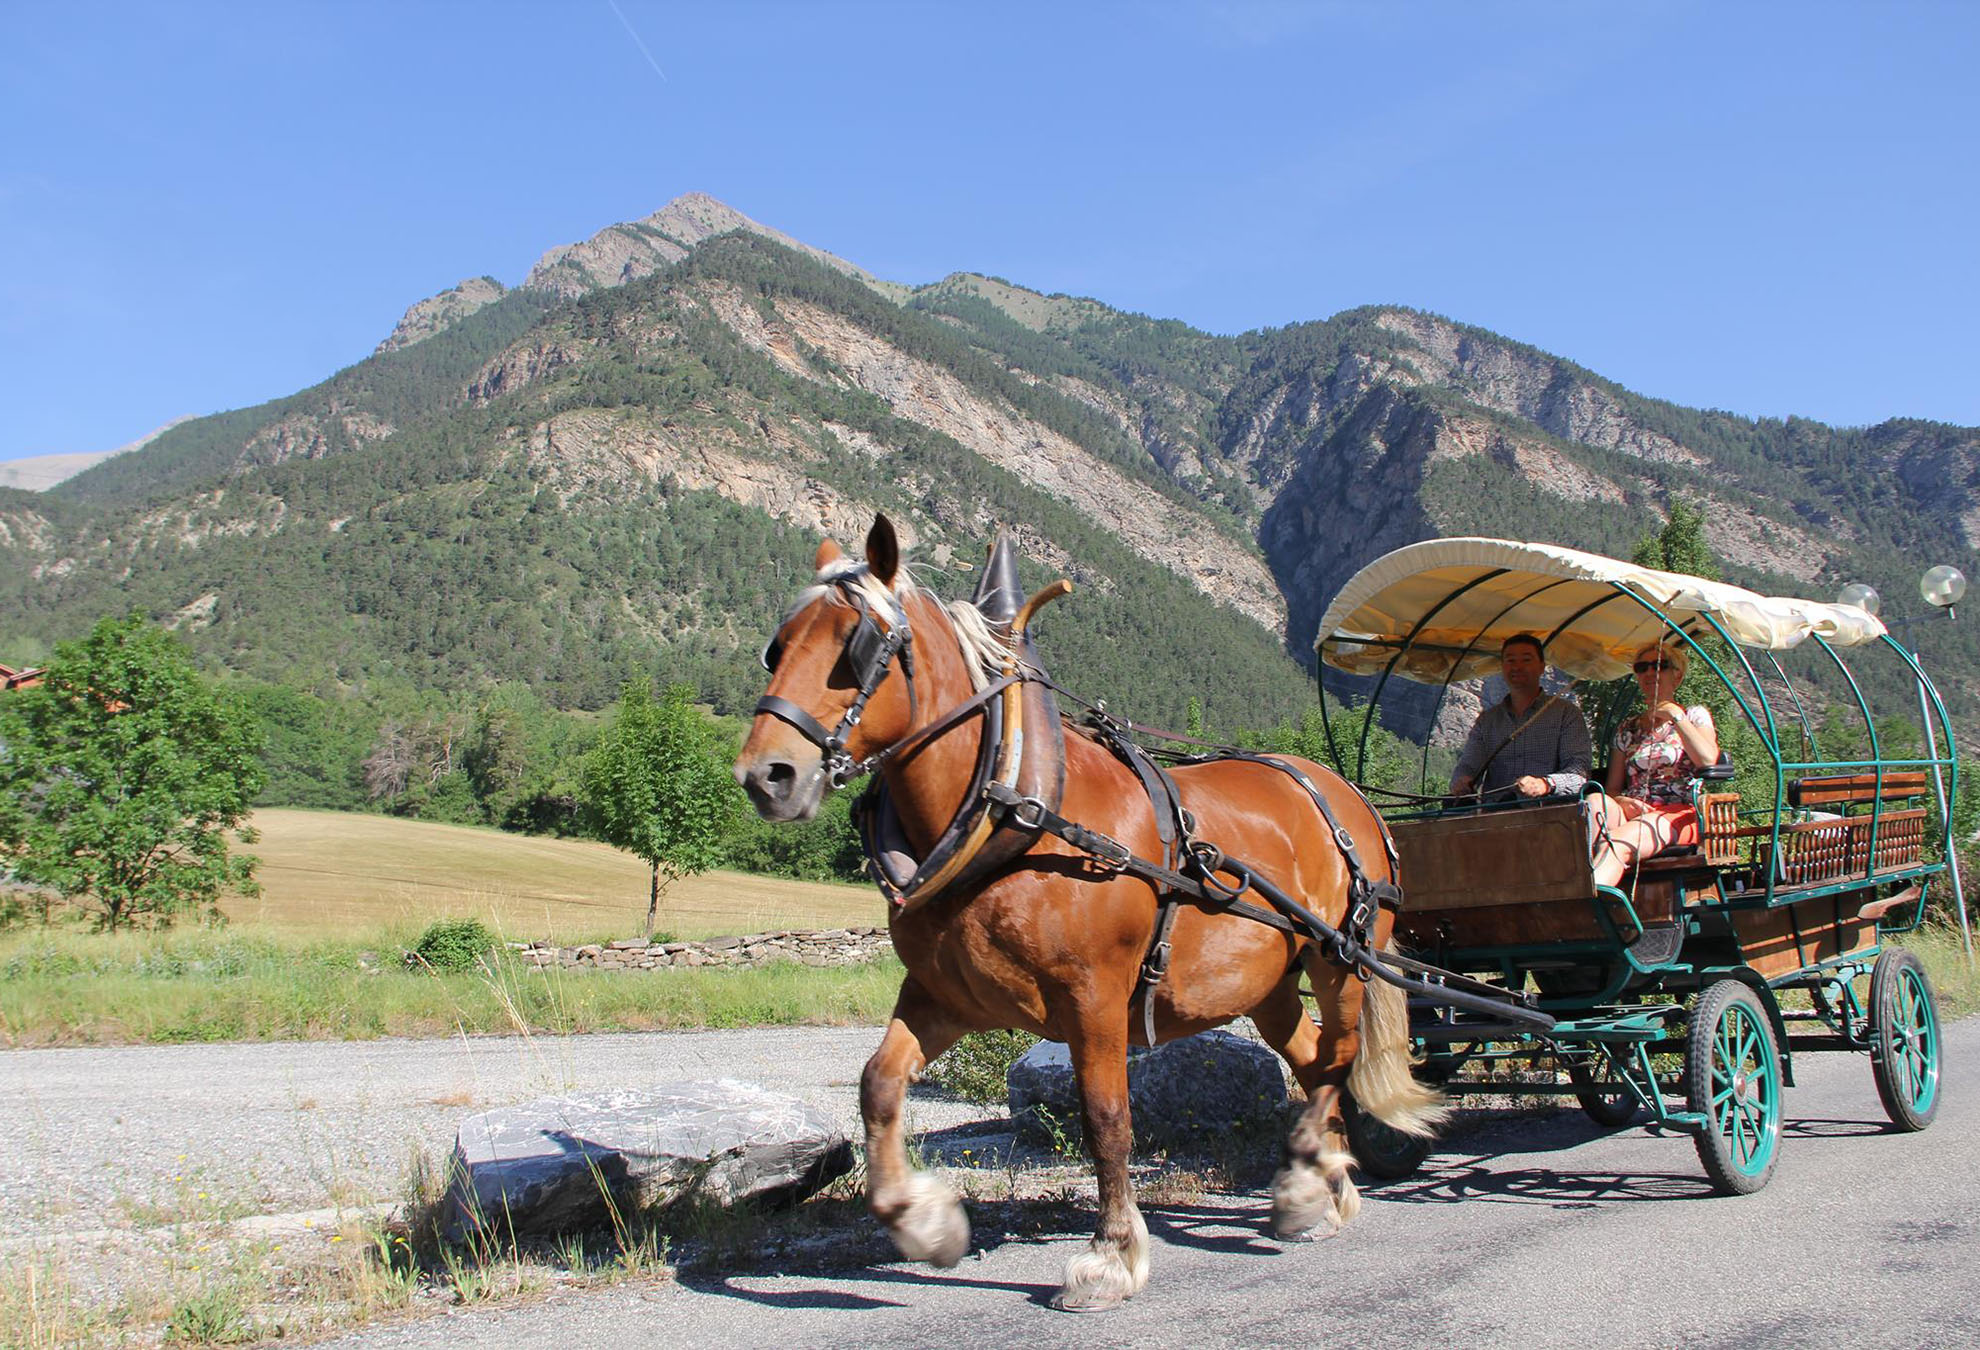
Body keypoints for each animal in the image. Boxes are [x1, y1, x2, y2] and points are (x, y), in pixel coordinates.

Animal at [728, 514, 1441, 1306]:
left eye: (858, 646)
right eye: (779, 645)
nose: (766, 775)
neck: (1018, 810)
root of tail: (1344, 793)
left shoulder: (1094, 999)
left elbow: (1106, 1119)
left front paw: (1112, 1255)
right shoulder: (945, 995)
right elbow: (878, 1085)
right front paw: (921, 1221)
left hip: (1342, 958)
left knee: (1339, 1056)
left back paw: (1311, 1176)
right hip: (1270, 984)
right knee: (1316, 1062)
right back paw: (1322, 1185)